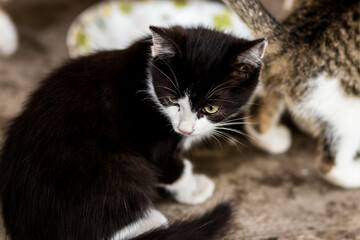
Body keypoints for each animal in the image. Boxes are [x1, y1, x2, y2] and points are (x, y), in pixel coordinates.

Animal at [0, 26, 268, 240]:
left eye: (211, 108)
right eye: (172, 99)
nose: (185, 128)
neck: (148, 80)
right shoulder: (151, 137)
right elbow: (170, 167)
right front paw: (193, 189)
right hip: (114, 166)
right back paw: (151, 223)